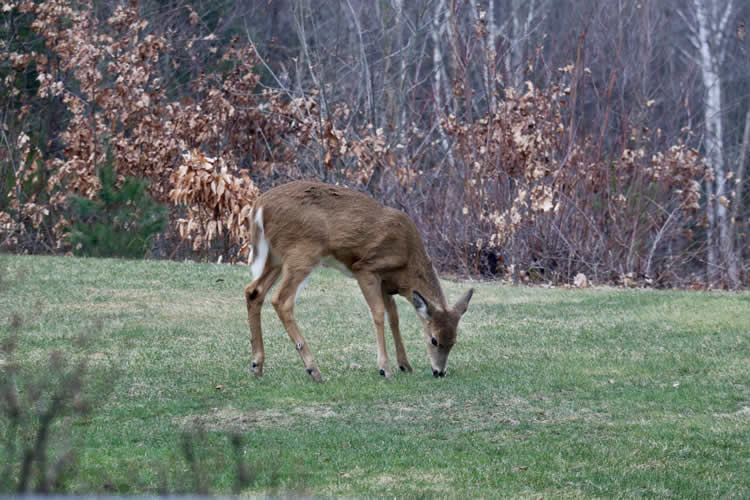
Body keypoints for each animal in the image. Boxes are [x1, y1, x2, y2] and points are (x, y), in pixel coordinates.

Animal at [244, 182, 472, 380]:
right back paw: (313, 369)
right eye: (434, 339)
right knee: (281, 300)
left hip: (276, 257)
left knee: (254, 291)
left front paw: (405, 365)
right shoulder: (366, 268)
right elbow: (379, 314)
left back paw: (257, 366)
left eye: (454, 340)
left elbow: (394, 317)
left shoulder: (385, 283)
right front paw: (385, 368)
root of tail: (259, 206)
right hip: (303, 253)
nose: (439, 372)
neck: (407, 261)